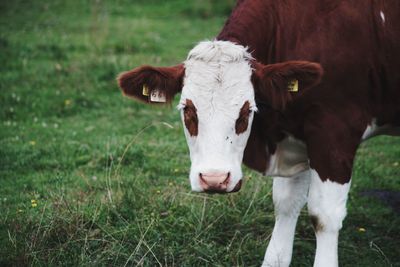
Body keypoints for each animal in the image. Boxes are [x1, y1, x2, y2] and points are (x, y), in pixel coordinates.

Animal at [116, 1, 400, 266]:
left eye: (247, 111)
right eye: (187, 110)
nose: (214, 179)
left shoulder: (334, 133)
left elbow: (324, 215)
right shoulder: (296, 137)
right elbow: (286, 205)